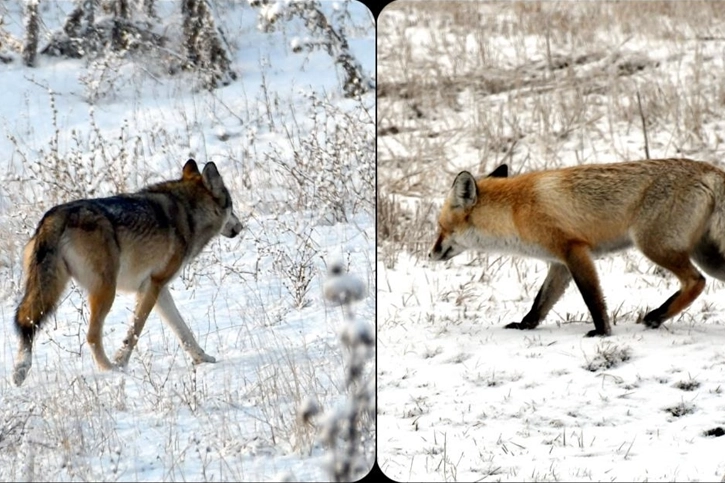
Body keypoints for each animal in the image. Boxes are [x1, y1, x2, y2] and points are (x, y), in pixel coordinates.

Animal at [428, 159, 724, 336]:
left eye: (441, 227)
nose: (430, 254)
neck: (514, 211)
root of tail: (709, 168)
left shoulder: (575, 250)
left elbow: (592, 298)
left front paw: (602, 332)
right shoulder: (559, 262)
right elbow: (541, 302)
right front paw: (525, 325)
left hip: (654, 246)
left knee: (696, 281)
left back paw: (657, 316)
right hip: (707, 258)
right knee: (701, 280)